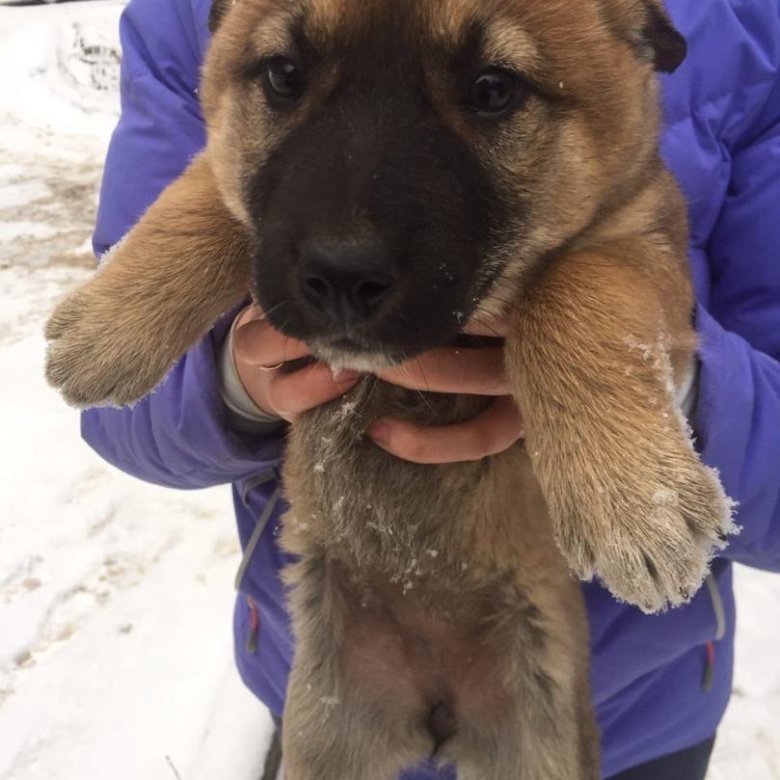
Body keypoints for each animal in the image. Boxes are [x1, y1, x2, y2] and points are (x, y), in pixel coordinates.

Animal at [45, 3, 736, 776]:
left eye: (493, 90)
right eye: (285, 75)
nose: (342, 276)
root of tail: (436, 706)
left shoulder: (637, 231)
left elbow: (575, 294)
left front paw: (631, 502)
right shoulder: (243, 178)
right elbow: (207, 192)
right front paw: (107, 327)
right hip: (324, 731)